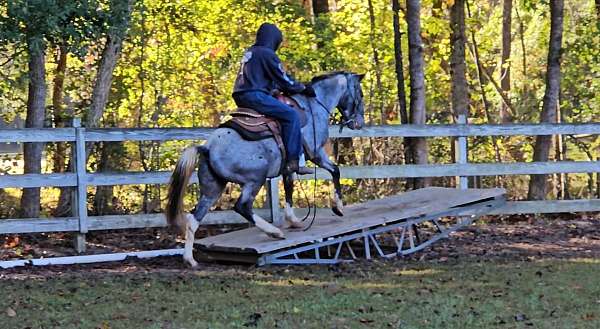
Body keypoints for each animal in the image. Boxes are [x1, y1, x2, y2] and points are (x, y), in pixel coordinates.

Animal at [166, 70, 368, 266]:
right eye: (360, 93)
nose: (359, 123)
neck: (313, 105)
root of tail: (207, 147)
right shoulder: (316, 153)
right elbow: (335, 170)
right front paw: (338, 207)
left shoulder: (289, 166)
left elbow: (289, 188)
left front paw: (293, 221)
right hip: (255, 179)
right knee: (242, 206)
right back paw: (274, 232)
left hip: (212, 188)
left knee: (194, 219)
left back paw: (190, 259)